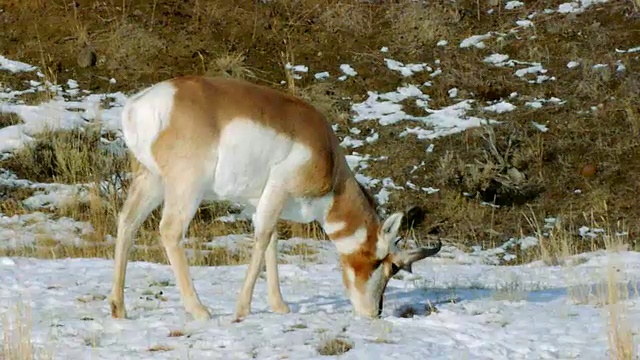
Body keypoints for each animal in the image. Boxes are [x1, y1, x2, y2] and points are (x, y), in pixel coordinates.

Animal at [109, 75, 440, 320]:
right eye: (389, 265)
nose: (375, 313)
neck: (328, 157)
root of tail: (140, 104)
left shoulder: (261, 201)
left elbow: (272, 241)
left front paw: (279, 305)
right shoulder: (278, 189)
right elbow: (263, 238)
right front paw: (242, 309)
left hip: (150, 181)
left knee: (127, 222)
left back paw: (118, 308)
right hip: (186, 188)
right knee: (169, 231)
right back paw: (200, 310)